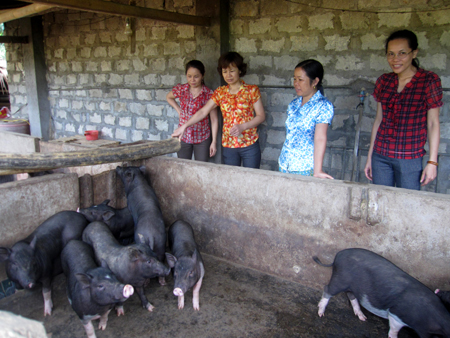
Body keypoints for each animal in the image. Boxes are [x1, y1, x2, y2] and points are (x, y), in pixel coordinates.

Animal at [314, 248, 450, 338]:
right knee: (327, 289)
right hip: (340, 279)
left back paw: (363, 318)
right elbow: (393, 330)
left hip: (350, 286)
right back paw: (320, 313)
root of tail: (338, 255)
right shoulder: (396, 314)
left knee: (351, 295)